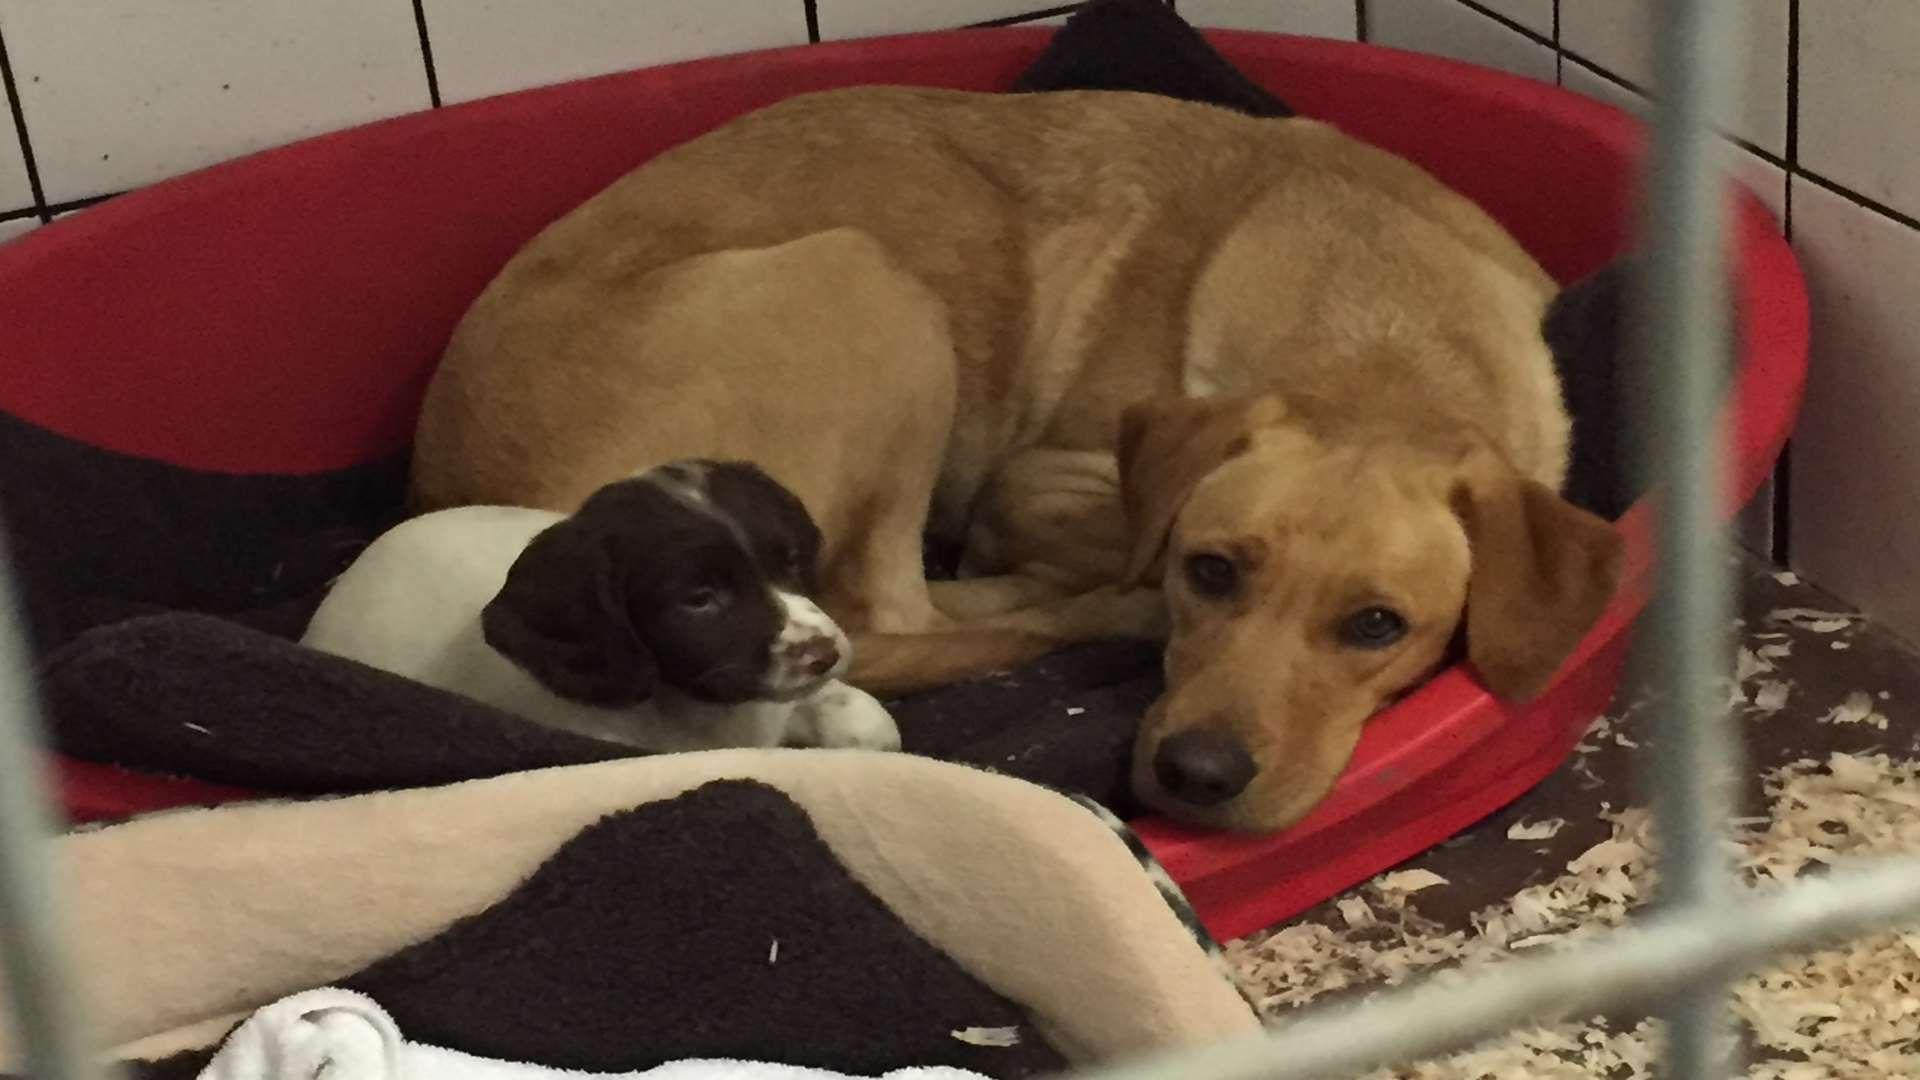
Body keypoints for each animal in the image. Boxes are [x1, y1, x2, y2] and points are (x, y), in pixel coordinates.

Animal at [412, 85, 1628, 834]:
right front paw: (1099, 590)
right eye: (1210, 570)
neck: (1376, 343)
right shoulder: (1045, 478)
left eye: (1378, 626)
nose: (1193, 778)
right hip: (875, 291)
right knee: (895, 612)